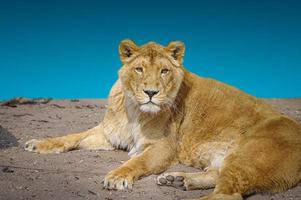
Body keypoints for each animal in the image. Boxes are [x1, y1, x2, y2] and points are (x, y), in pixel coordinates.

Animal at [25, 39, 300, 199]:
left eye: (164, 71)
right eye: (139, 69)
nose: (150, 92)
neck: (134, 110)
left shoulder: (163, 147)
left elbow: (136, 162)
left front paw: (117, 177)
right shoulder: (109, 133)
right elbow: (71, 136)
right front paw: (39, 144)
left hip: (248, 156)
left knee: (228, 194)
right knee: (218, 178)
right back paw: (177, 180)